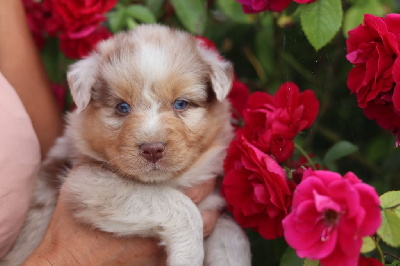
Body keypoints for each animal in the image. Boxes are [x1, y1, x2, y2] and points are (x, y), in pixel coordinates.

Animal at [0, 25, 250, 266]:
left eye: (181, 104)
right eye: (122, 107)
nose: (152, 149)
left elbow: (232, 232)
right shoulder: (86, 182)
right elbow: (176, 204)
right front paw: (188, 257)